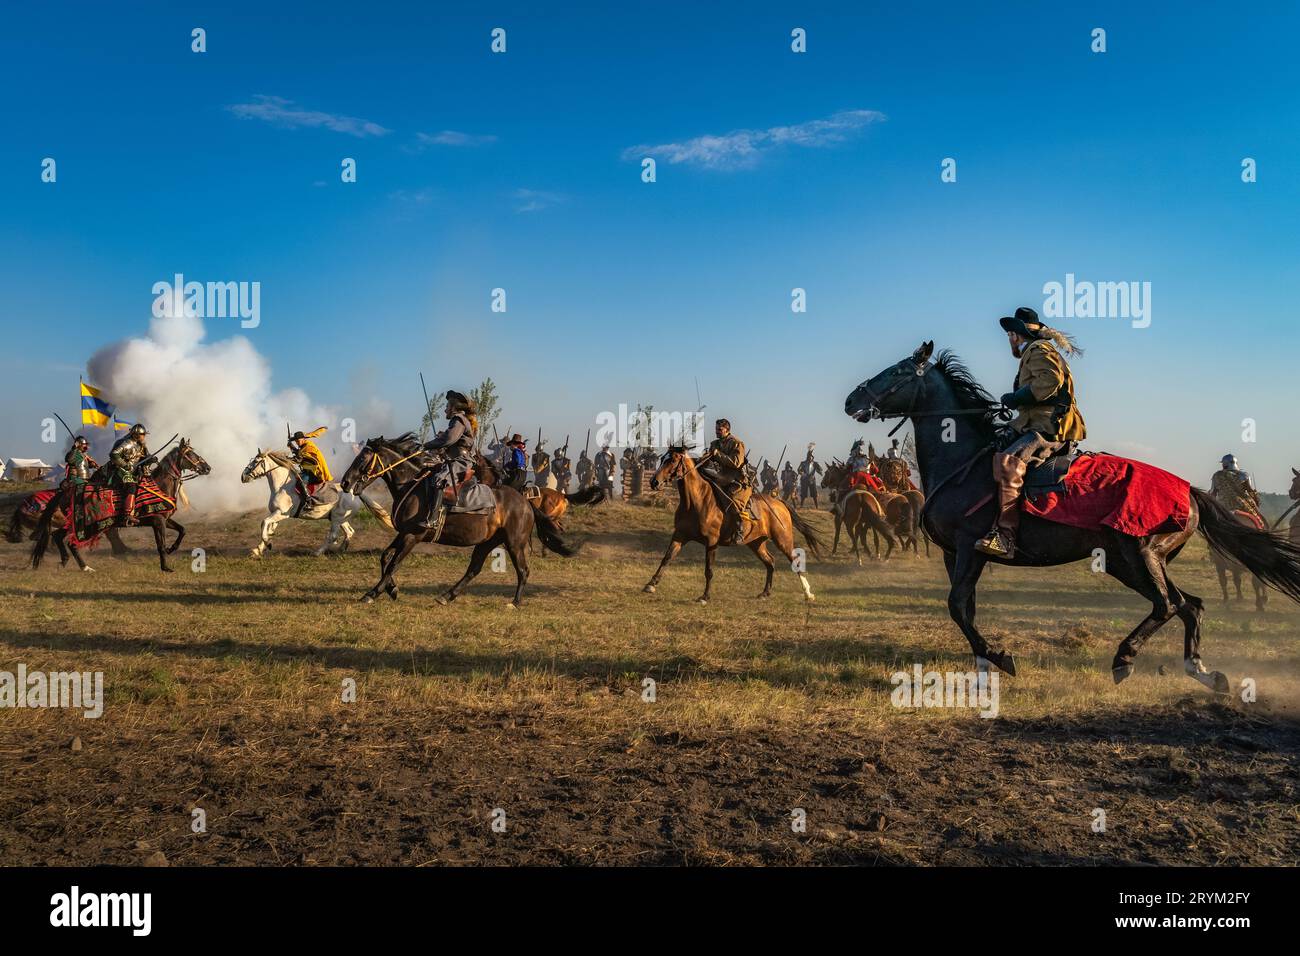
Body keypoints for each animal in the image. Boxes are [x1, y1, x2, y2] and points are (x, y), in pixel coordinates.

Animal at [30, 439, 210, 572]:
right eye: (191, 454)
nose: (207, 468)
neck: (160, 485)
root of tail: (66, 491)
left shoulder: (164, 519)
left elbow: (182, 530)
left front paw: (172, 549)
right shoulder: (158, 521)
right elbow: (160, 544)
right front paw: (165, 566)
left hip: (73, 524)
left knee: (58, 536)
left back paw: (71, 562)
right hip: (82, 525)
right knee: (70, 542)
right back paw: (82, 566)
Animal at [237, 450, 390, 556]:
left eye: (255, 462)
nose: (243, 477)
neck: (282, 486)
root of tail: (353, 492)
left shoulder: (281, 514)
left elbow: (264, 523)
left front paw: (266, 544)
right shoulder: (275, 514)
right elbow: (269, 529)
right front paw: (258, 549)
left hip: (337, 518)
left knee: (333, 536)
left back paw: (317, 552)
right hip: (339, 518)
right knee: (349, 532)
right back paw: (341, 549)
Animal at [642, 447, 821, 606]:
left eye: (672, 460)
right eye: (662, 459)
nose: (654, 482)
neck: (696, 500)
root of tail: (780, 503)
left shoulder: (711, 542)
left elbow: (709, 570)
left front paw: (705, 596)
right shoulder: (680, 535)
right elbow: (667, 558)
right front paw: (651, 584)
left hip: (782, 540)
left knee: (795, 561)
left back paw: (808, 594)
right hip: (756, 543)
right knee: (770, 561)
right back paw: (765, 593)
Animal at [847, 343, 1300, 697]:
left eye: (898, 371)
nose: (852, 401)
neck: (962, 461)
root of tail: (1188, 489)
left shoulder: (969, 549)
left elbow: (957, 606)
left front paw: (1000, 658)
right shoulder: (952, 554)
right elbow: (966, 609)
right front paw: (983, 668)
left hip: (1139, 555)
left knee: (1168, 604)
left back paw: (1124, 659)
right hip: (1132, 562)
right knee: (1190, 606)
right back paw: (1204, 674)